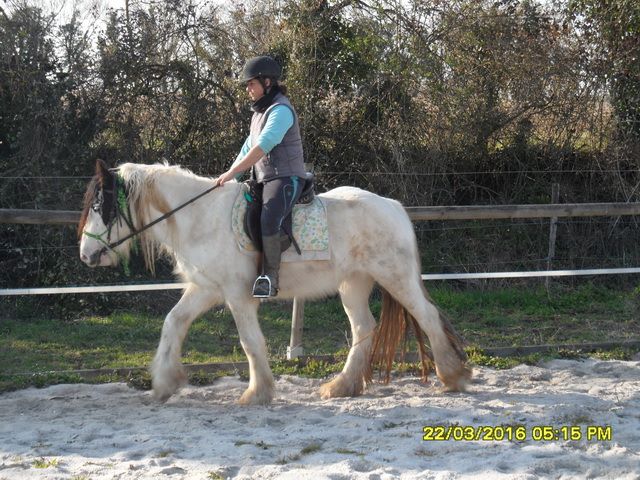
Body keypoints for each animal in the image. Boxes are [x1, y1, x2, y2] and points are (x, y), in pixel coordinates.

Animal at [80, 159, 470, 404]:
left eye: (102, 207)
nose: (86, 255)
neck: (199, 217)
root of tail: (393, 206)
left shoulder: (237, 295)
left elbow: (250, 342)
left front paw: (258, 393)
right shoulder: (206, 288)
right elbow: (173, 323)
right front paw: (163, 383)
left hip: (394, 276)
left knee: (427, 317)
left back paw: (452, 376)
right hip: (354, 284)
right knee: (363, 328)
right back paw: (341, 387)